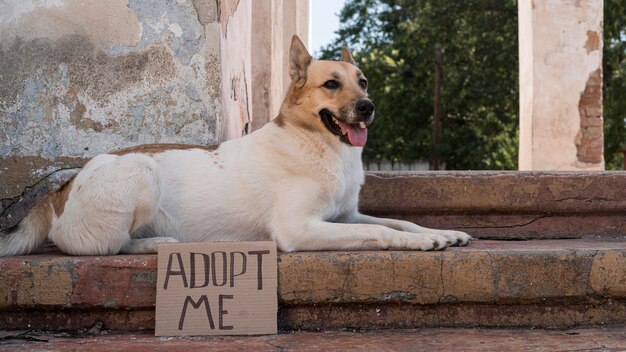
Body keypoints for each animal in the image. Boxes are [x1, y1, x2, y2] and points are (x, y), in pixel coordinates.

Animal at [0, 35, 468, 256]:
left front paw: (441, 232)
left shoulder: (345, 215)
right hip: (140, 174)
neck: (319, 145)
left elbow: (398, 222)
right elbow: (380, 232)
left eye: (364, 82)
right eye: (332, 84)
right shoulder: (299, 229)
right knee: (108, 246)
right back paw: (160, 243)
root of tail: (59, 190)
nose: (369, 108)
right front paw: (425, 244)